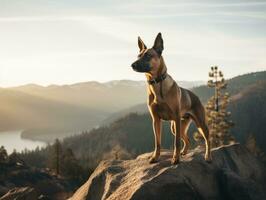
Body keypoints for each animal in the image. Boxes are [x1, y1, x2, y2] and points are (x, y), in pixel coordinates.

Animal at [131, 32, 212, 164]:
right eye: (138, 56)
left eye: (148, 56)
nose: (132, 65)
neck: (157, 84)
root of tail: (195, 96)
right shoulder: (156, 120)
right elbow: (157, 143)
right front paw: (155, 157)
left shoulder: (176, 118)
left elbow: (176, 142)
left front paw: (176, 158)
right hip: (176, 127)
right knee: (187, 139)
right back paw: (184, 152)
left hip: (199, 123)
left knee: (207, 139)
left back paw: (208, 156)